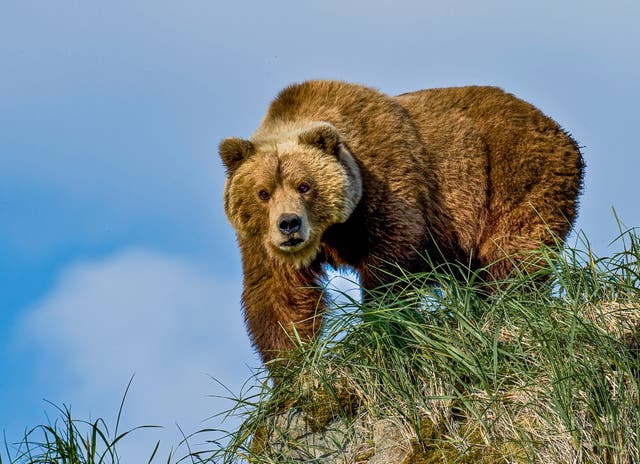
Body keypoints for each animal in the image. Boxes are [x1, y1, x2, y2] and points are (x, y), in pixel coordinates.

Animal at [219, 80, 584, 368]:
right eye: (263, 192)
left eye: (305, 185)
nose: (289, 224)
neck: (333, 231)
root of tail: (558, 129)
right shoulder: (261, 242)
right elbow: (278, 295)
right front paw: (290, 366)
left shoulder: (386, 183)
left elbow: (390, 266)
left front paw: (382, 326)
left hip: (515, 175)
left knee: (511, 256)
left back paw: (509, 309)